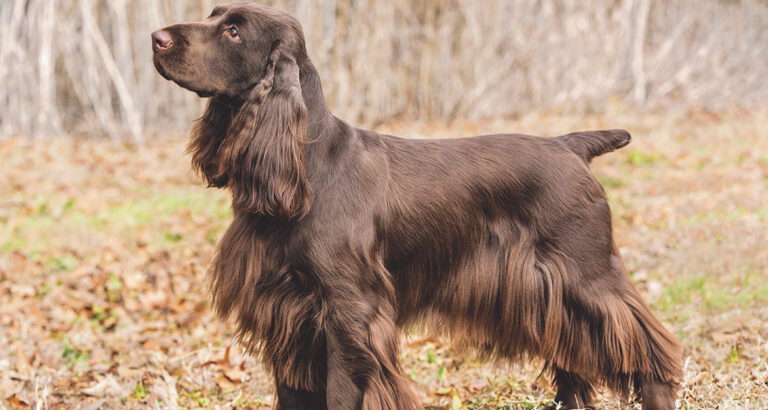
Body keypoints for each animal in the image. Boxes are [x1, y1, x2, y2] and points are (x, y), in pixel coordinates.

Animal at [153, 2, 680, 406]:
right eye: (213, 15)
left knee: (644, 347)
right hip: (547, 292)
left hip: (586, 275)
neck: (308, 166)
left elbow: (343, 393)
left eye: (234, 30)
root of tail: (569, 145)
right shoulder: (286, 315)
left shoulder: (349, 314)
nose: (156, 38)